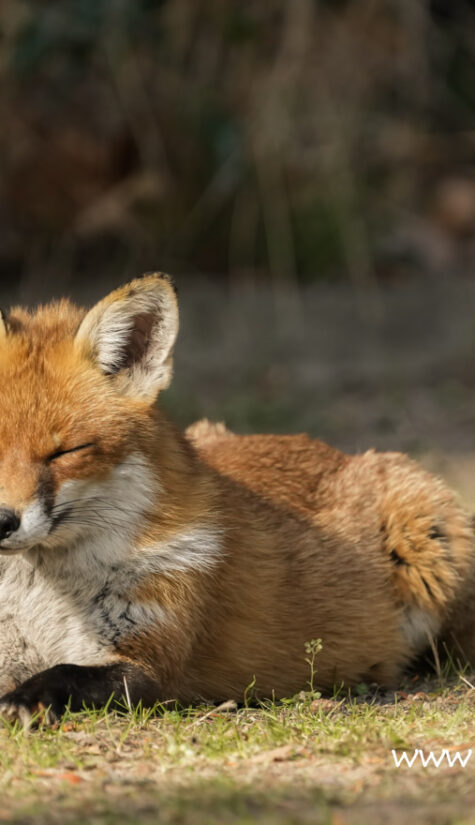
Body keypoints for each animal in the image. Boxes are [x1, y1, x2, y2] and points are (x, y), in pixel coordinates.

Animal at [0, 273, 473, 726]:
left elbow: (64, 673)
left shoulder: (152, 663)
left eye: (66, 452)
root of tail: (330, 447)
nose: (4, 520)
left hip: (426, 547)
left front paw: (23, 699)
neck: (39, 596)